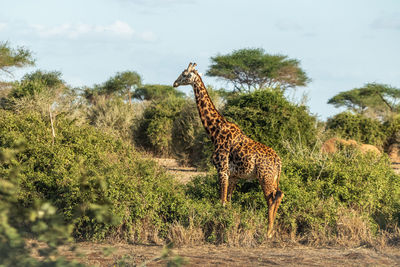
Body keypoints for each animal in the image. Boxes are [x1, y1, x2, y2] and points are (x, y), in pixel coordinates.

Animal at [174, 63, 284, 239]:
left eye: (185, 74)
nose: (175, 83)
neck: (214, 131)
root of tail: (278, 161)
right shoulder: (233, 175)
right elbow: (229, 202)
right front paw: (228, 225)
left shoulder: (222, 170)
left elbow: (222, 201)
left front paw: (221, 228)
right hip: (273, 178)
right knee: (279, 195)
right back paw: (271, 231)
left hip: (264, 177)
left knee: (271, 198)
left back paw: (268, 232)